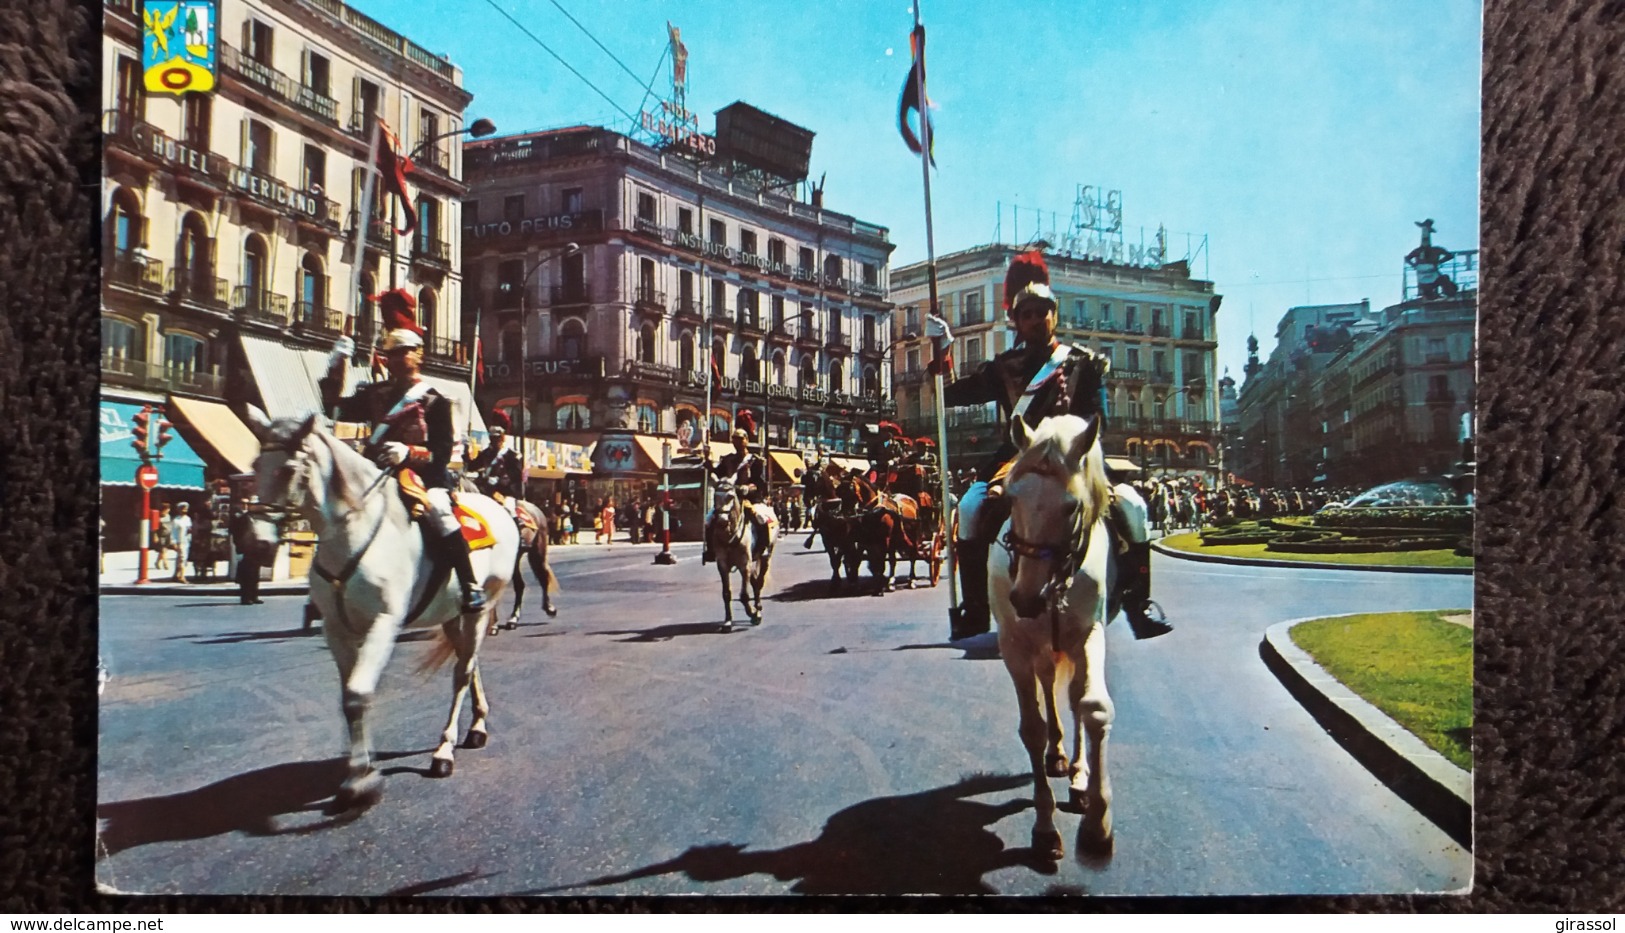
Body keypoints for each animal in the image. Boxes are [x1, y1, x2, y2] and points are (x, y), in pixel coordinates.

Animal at [240, 407, 516, 812]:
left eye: (288, 469)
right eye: (256, 465)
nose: (256, 542)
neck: (354, 531)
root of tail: (499, 508)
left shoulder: (383, 624)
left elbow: (359, 694)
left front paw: (360, 781)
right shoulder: (337, 629)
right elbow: (350, 699)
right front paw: (358, 772)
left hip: (481, 608)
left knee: (462, 673)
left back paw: (444, 750)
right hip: (454, 614)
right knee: (470, 662)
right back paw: (477, 727)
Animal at [708, 481, 776, 637]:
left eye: (731, 496)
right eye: (715, 496)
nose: (721, 521)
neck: (730, 534)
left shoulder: (745, 564)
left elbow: (744, 595)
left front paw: (753, 613)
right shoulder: (723, 565)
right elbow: (726, 594)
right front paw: (727, 622)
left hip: (766, 556)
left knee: (759, 582)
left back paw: (757, 609)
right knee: (755, 582)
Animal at [988, 412, 1118, 864]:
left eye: (1071, 506)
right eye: (1011, 499)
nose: (1026, 598)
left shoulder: (1089, 633)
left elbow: (1093, 708)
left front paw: (1097, 823)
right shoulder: (1014, 646)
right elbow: (1033, 727)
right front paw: (1044, 828)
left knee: (1076, 698)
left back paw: (1077, 775)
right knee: (1048, 685)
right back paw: (1058, 756)